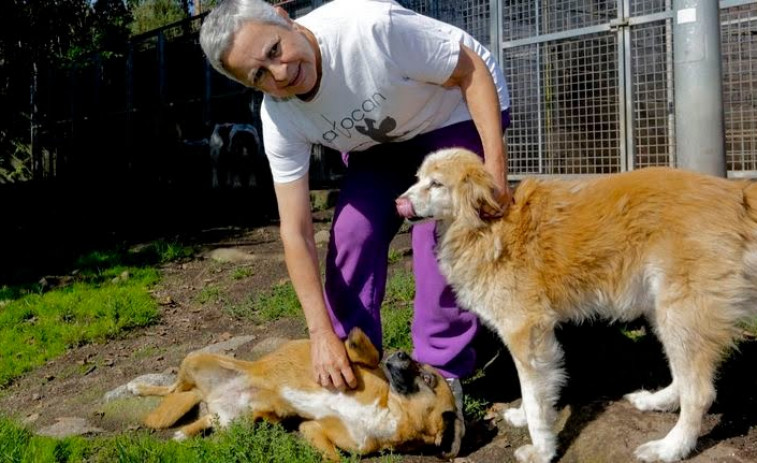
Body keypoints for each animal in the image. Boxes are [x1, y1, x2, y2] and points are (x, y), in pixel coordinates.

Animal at [129, 328, 460, 462]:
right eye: (424, 369)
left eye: (428, 377)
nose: (403, 353)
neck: (388, 413)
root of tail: (211, 394)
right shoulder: (354, 368)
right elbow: (369, 353)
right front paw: (356, 338)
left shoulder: (312, 427)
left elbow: (333, 458)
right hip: (196, 358)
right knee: (173, 388)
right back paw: (138, 388)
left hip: (240, 423)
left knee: (208, 418)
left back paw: (185, 434)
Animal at [392, 150, 756, 463]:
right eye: (418, 178)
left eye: (436, 184)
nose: (398, 202)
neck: (487, 226)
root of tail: (736, 193)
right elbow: (532, 393)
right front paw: (522, 417)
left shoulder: (527, 332)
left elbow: (535, 396)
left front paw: (541, 450)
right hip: (665, 311)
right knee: (683, 375)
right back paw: (656, 401)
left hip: (681, 311)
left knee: (701, 393)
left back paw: (670, 448)